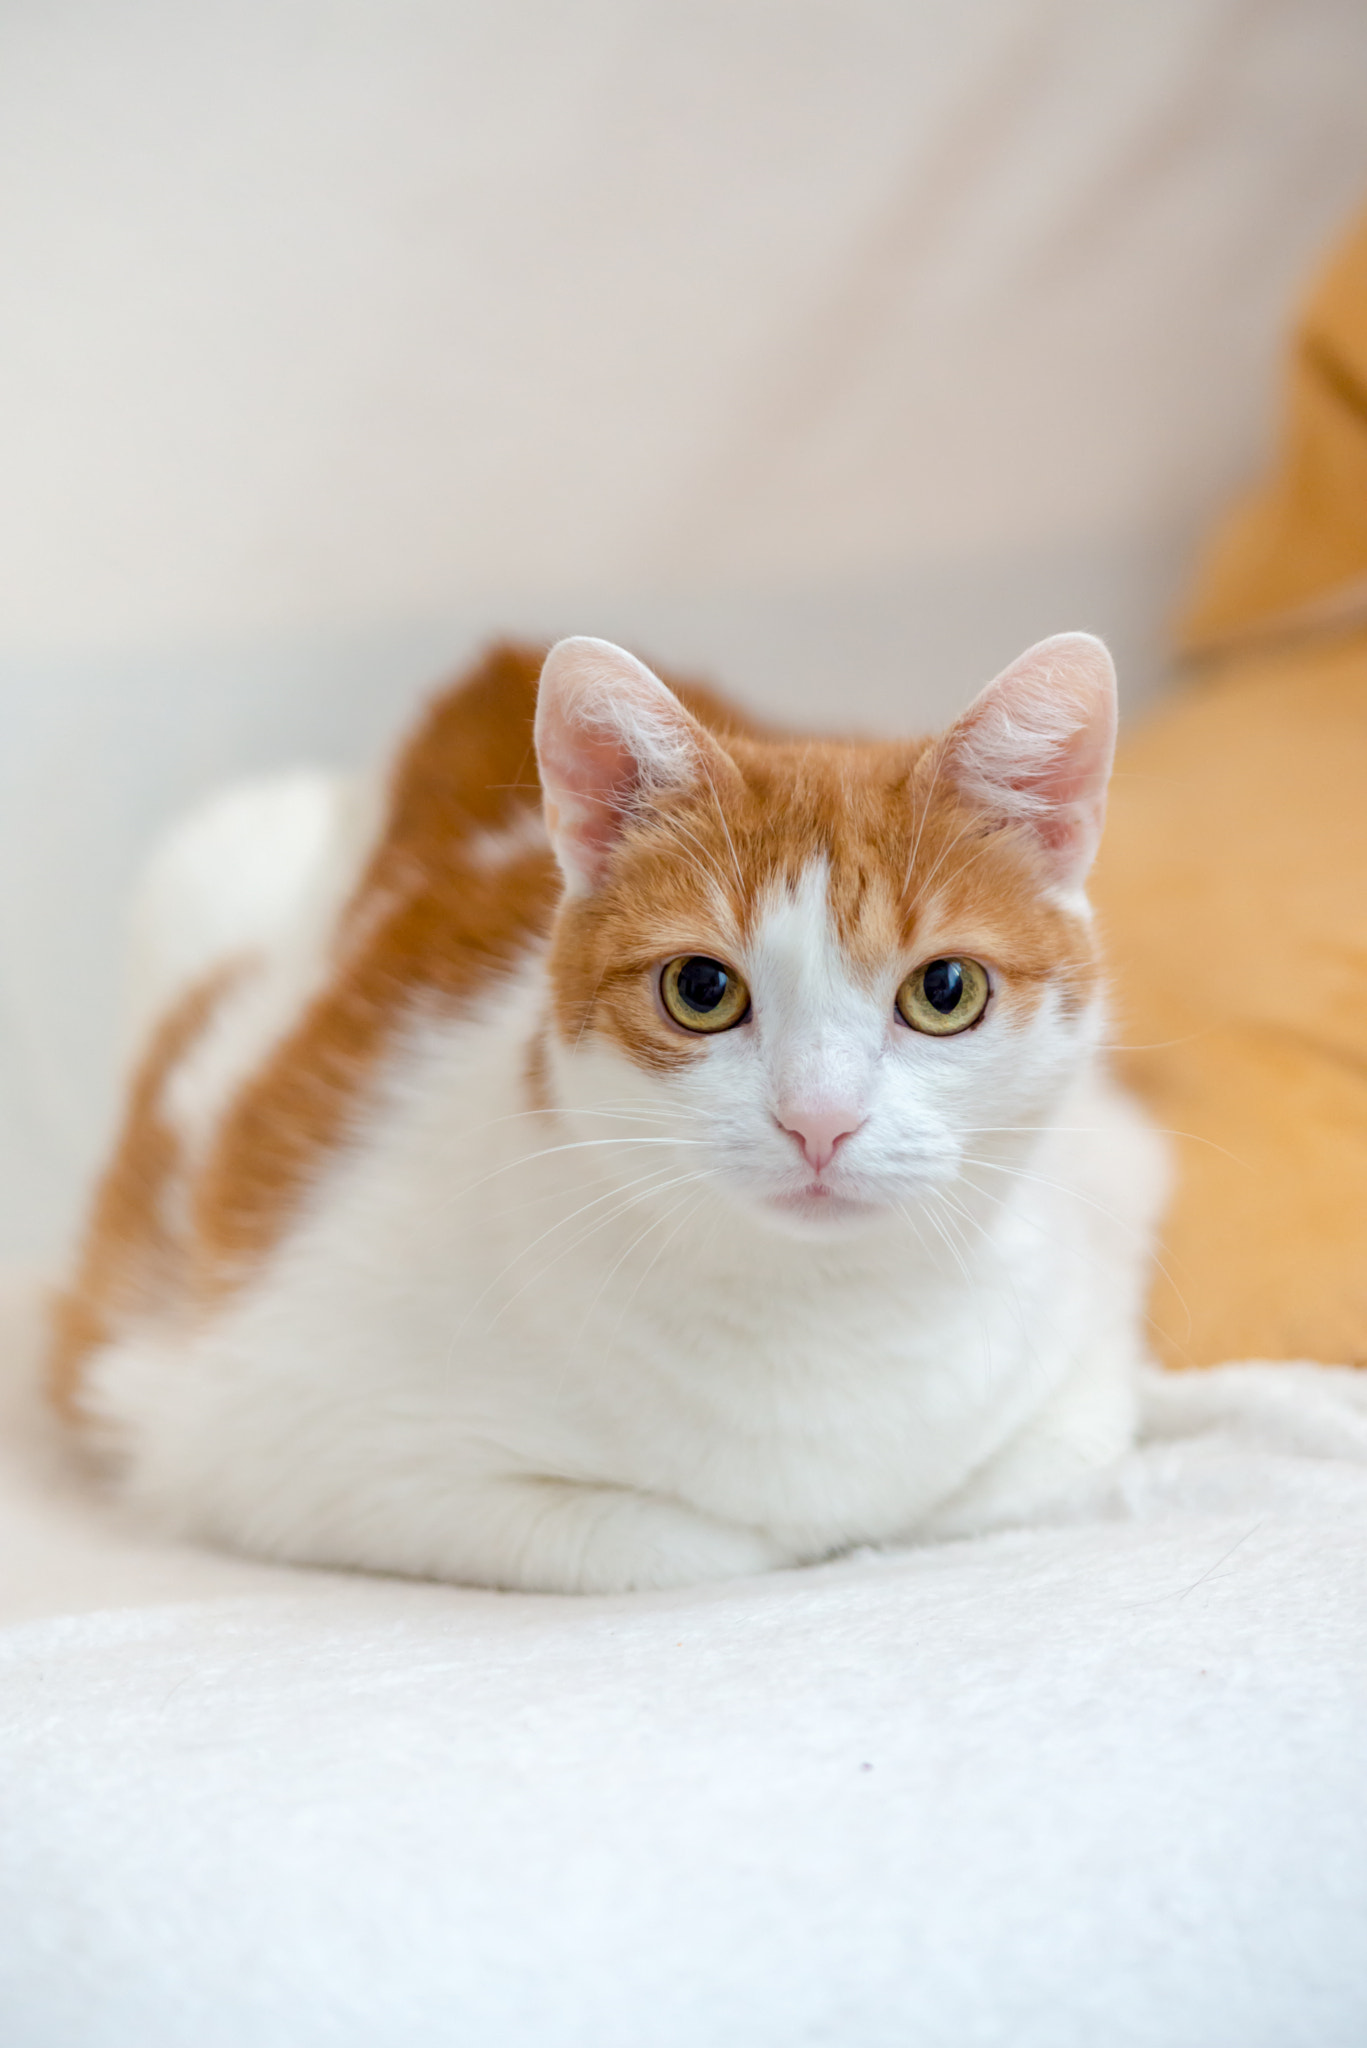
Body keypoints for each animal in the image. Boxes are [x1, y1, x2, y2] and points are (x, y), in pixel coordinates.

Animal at [50, 630, 1164, 1589]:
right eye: (701, 990)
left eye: (943, 990)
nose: (818, 1120)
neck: (823, 1316)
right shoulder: (287, 1449)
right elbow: (698, 1543)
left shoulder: (1088, 1345)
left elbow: (1002, 1488)